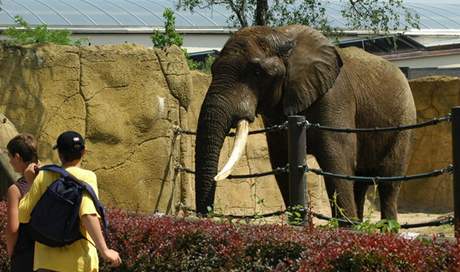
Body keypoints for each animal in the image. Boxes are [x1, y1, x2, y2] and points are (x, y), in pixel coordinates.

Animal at [194, 24, 416, 222]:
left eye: (257, 72)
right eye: (213, 69)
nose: (206, 216)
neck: (281, 35)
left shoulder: (335, 96)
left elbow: (337, 161)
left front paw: (347, 230)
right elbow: (281, 162)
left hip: (404, 120)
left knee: (389, 181)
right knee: (360, 182)